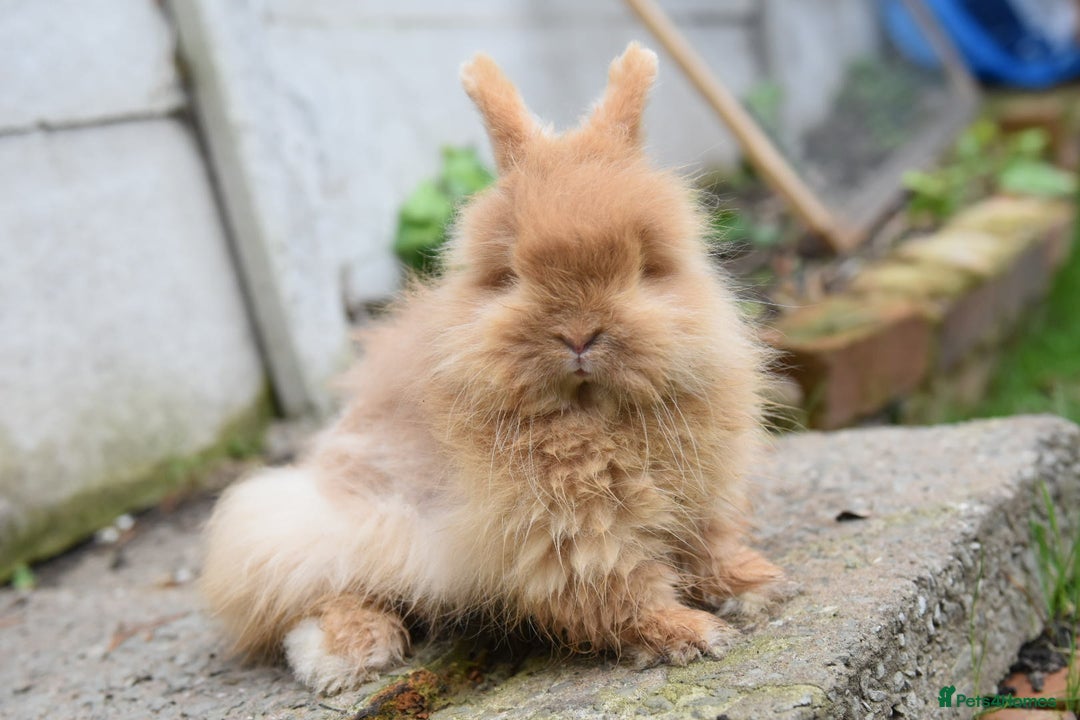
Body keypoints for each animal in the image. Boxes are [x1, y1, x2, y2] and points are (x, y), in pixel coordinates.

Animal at [200, 42, 782, 695]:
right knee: (315, 595)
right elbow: (621, 592)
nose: (578, 334)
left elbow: (710, 545)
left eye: (645, 266)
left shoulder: (705, 496)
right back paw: (346, 656)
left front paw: (753, 586)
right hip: (322, 528)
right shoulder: (571, 536)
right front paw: (691, 636)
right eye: (510, 273)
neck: (592, 414)